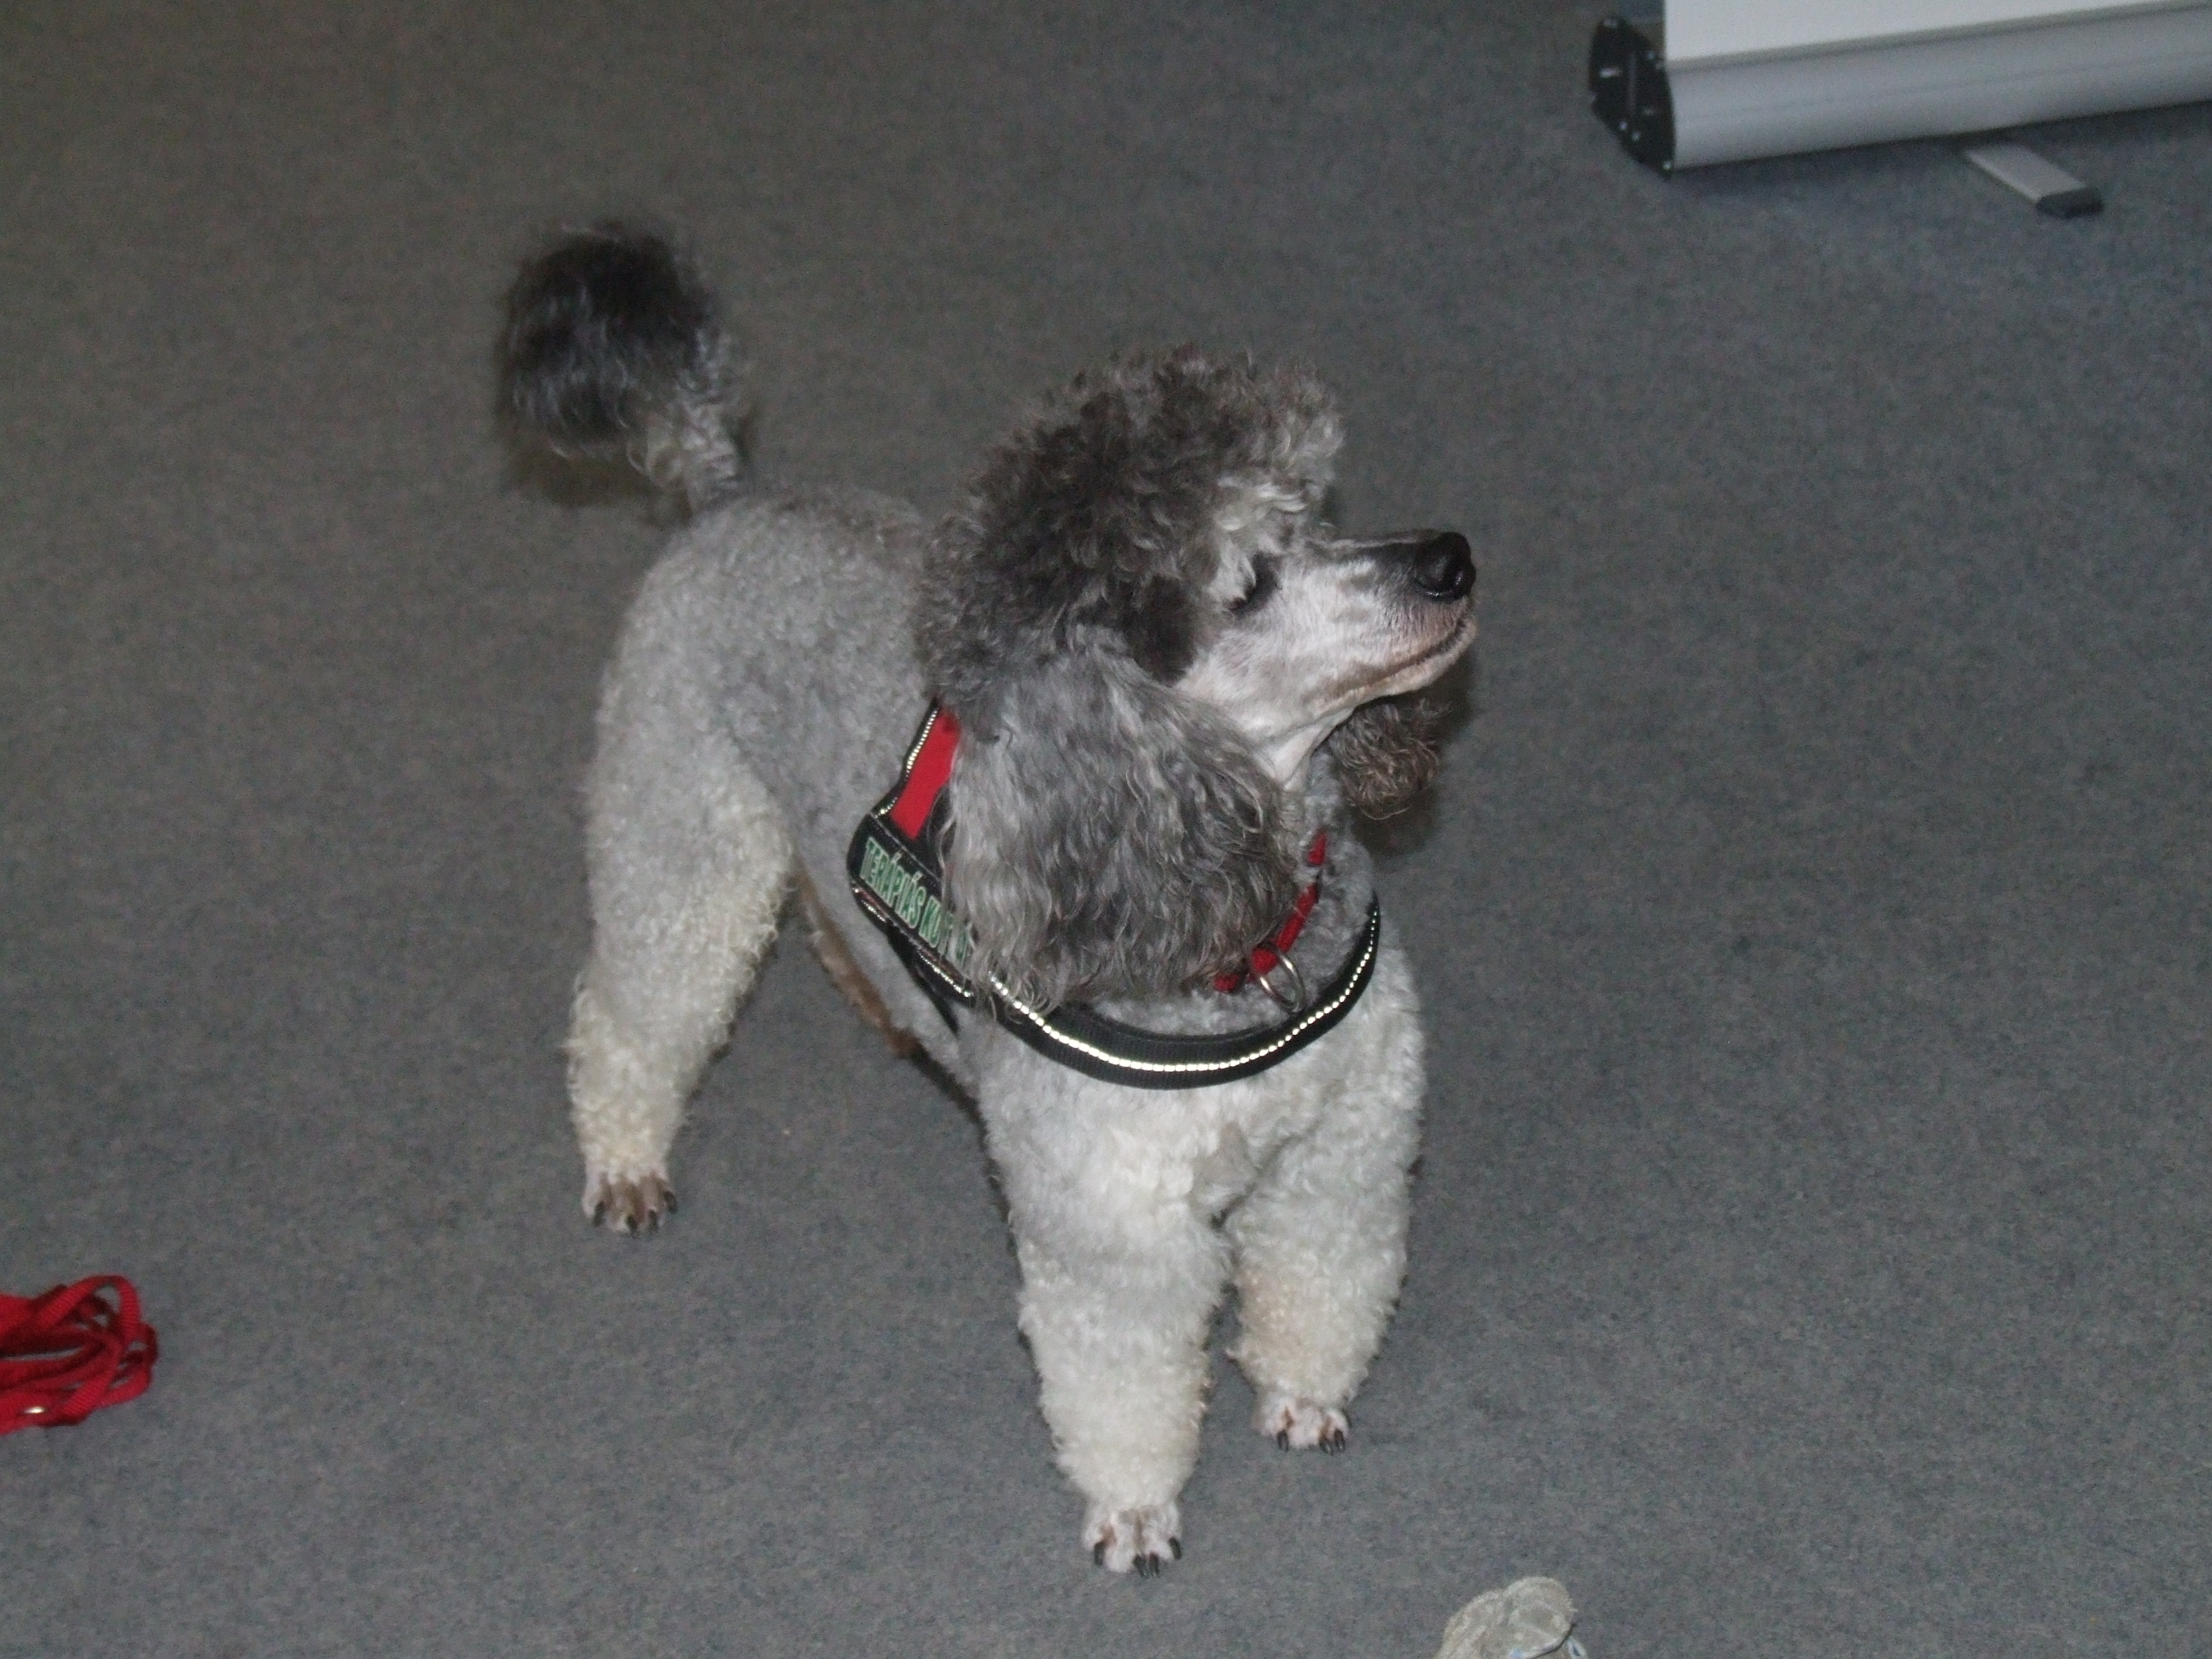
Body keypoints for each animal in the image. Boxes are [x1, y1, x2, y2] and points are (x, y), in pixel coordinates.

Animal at [498, 226, 1475, 1573]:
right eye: (1250, 580)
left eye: (1311, 511)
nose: (1447, 558)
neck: (1233, 932)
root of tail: (725, 489)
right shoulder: (1116, 1237)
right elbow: (1123, 1379)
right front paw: (1134, 1507)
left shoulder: (1341, 1153)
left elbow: (1321, 1282)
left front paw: (1302, 1392)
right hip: (680, 846)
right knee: (631, 1019)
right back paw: (626, 1157)